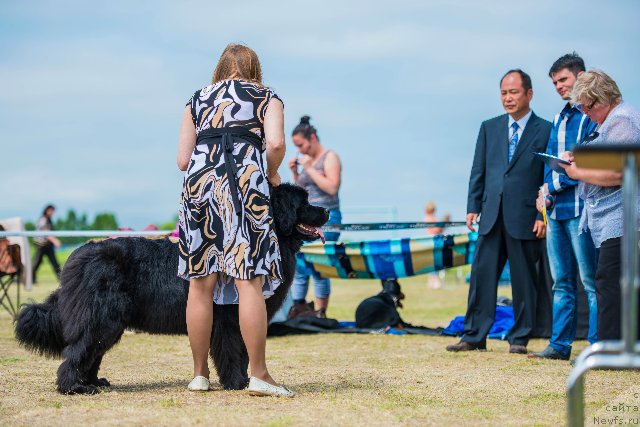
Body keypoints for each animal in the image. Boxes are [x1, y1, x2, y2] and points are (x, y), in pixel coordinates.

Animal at [15, 184, 330, 394]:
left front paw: (241, 381)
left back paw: (94, 382)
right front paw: (237, 384)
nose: (326, 210)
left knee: (92, 352)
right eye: (304, 203)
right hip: (101, 317)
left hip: (106, 321)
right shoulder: (227, 319)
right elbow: (231, 352)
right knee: (79, 350)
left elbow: (241, 351)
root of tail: (79, 256)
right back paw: (75, 387)